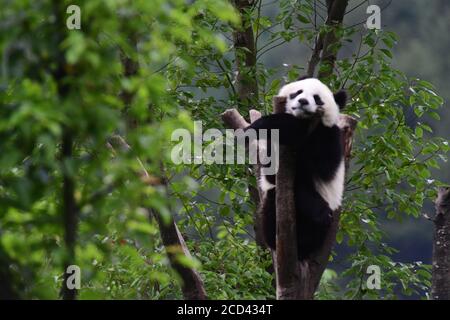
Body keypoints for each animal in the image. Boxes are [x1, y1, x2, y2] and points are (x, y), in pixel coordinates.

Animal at [248, 77, 346, 260]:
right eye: (298, 92)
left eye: (317, 98)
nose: (302, 101)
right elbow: (271, 173)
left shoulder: (330, 136)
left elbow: (323, 167)